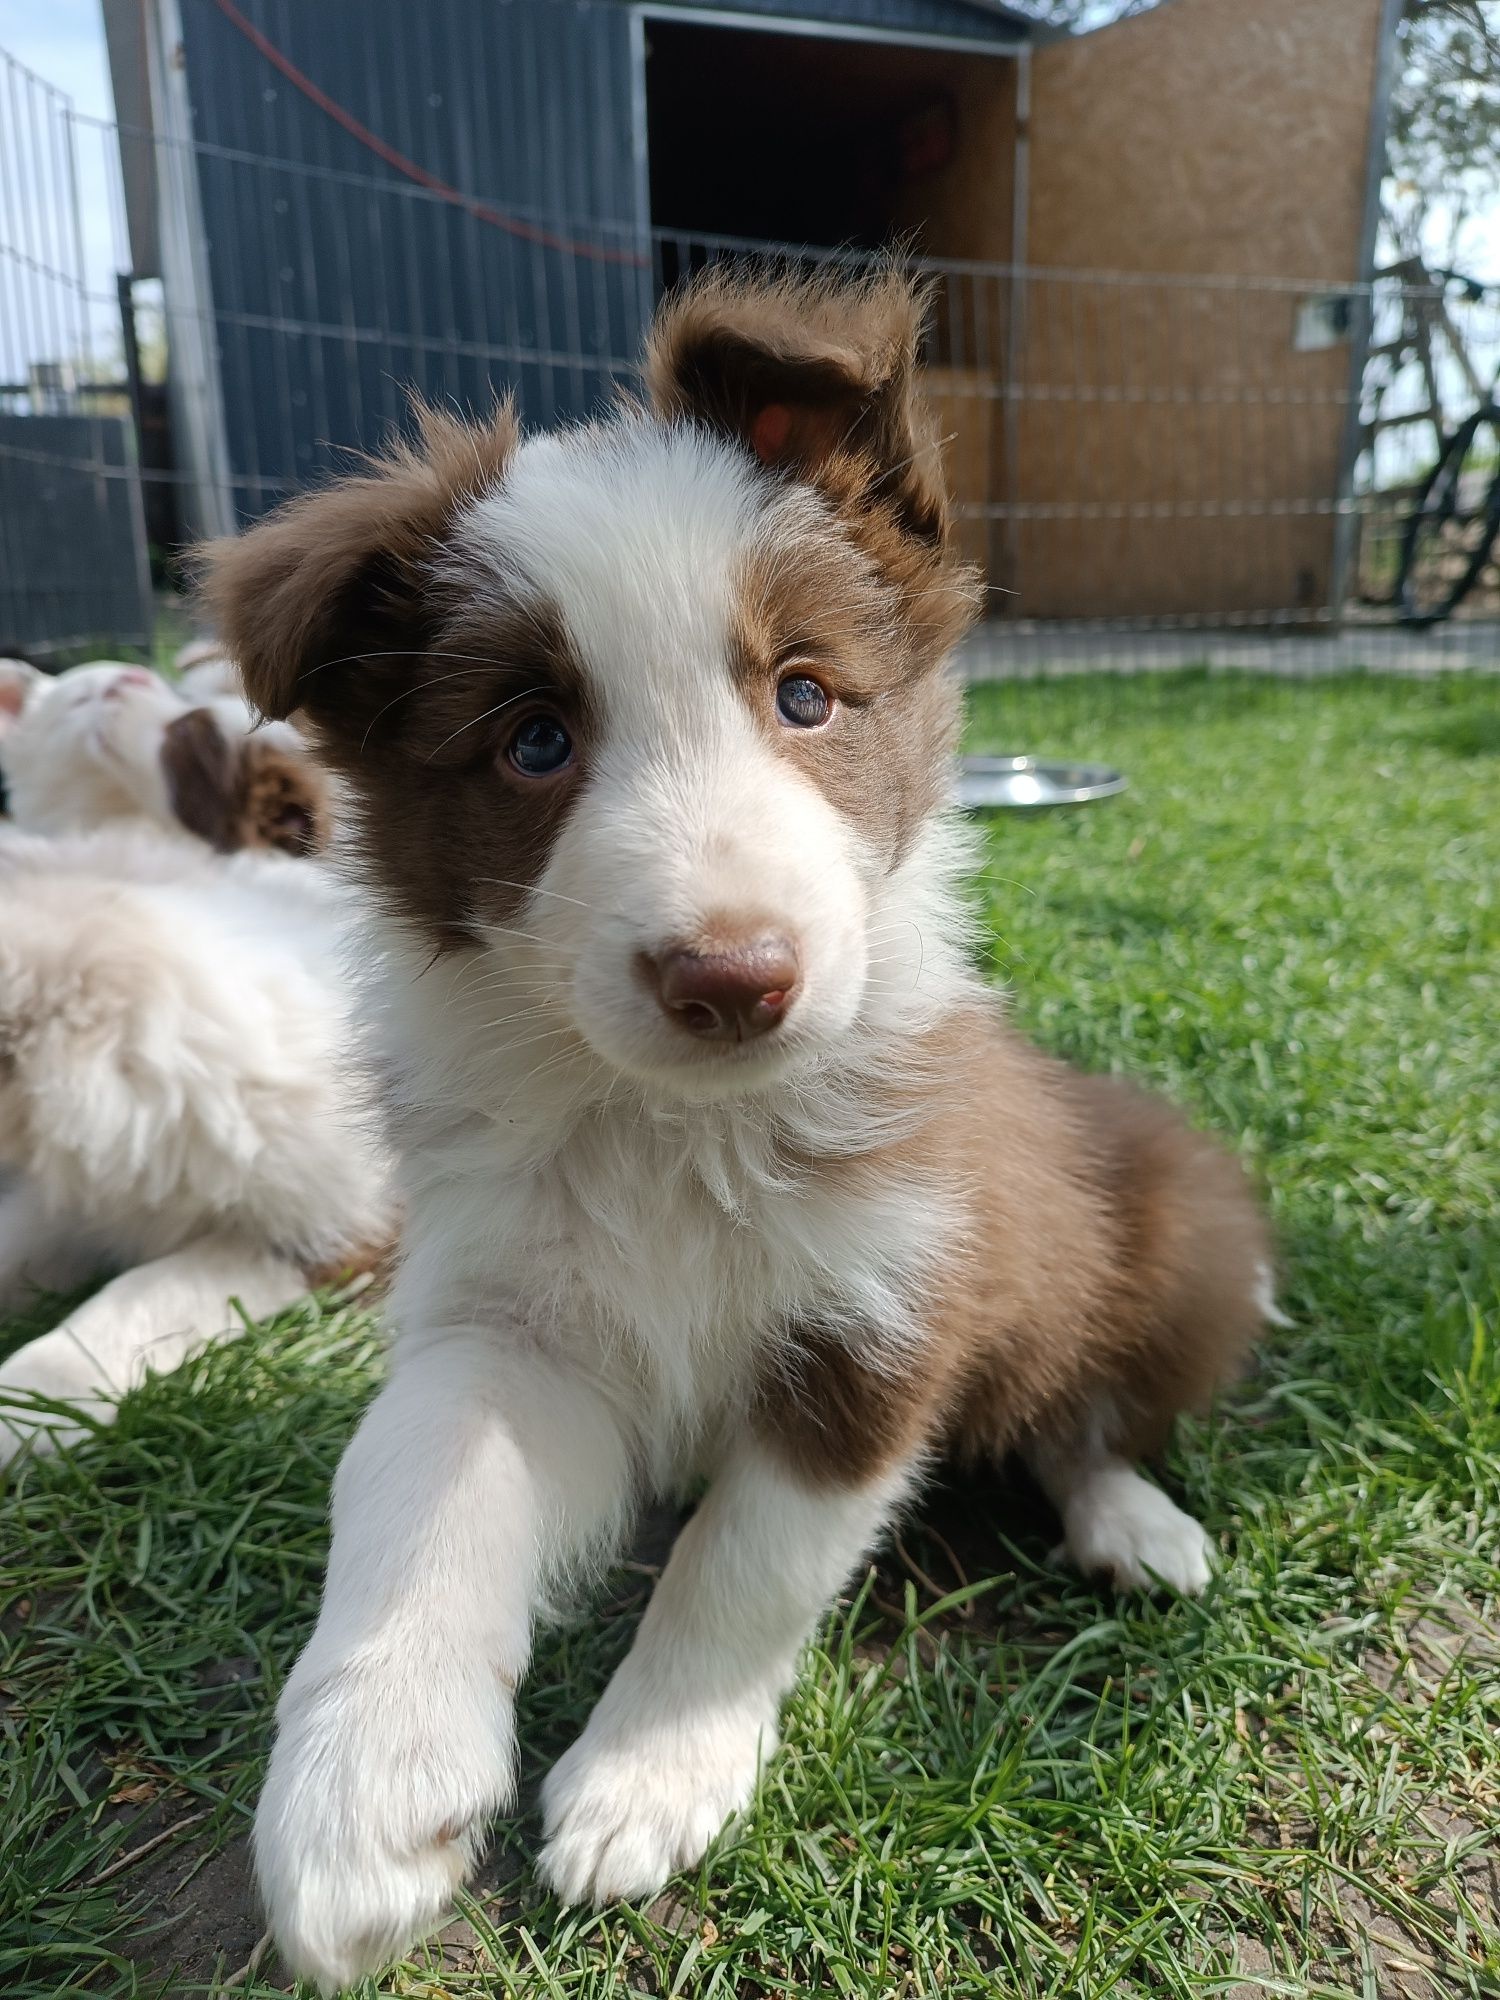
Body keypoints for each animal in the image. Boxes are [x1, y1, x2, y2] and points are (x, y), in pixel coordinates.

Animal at [203, 266, 1280, 1984]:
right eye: (533, 739)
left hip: (1182, 1237)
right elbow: (417, 1493)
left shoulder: (884, 1318)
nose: (733, 976)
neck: (676, 1131)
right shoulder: (509, 1318)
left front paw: (646, 1778)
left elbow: (741, 1567)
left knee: (1083, 1415)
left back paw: (1138, 1523)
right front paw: (363, 1797)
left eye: (805, 695)